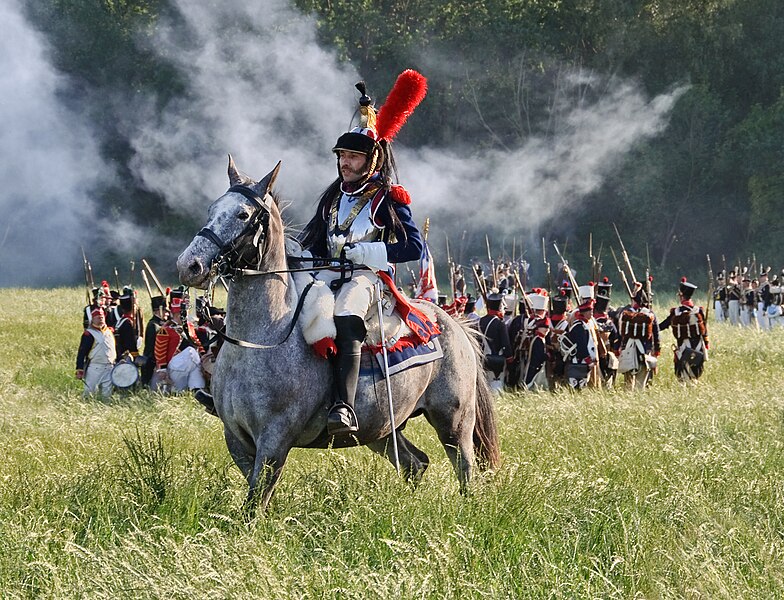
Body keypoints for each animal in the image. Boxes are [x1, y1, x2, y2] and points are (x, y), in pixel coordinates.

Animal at [177, 159, 500, 510]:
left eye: (243, 215)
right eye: (212, 209)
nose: (189, 265)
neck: (260, 340)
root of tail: (452, 324)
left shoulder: (274, 441)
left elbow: (255, 503)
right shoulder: (237, 440)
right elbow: (256, 497)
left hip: (454, 423)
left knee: (465, 469)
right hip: (382, 430)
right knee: (415, 463)